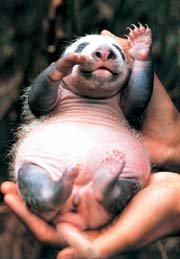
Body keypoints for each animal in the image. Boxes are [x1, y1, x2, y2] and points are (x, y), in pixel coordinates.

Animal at [12, 24, 153, 231]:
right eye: (82, 46)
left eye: (118, 50)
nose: (105, 52)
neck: (91, 96)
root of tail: (78, 201)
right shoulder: (47, 100)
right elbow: (38, 99)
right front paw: (62, 65)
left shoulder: (126, 104)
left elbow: (137, 97)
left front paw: (141, 46)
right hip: (35, 164)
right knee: (33, 180)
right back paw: (60, 187)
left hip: (131, 176)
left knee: (122, 190)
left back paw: (107, 177)